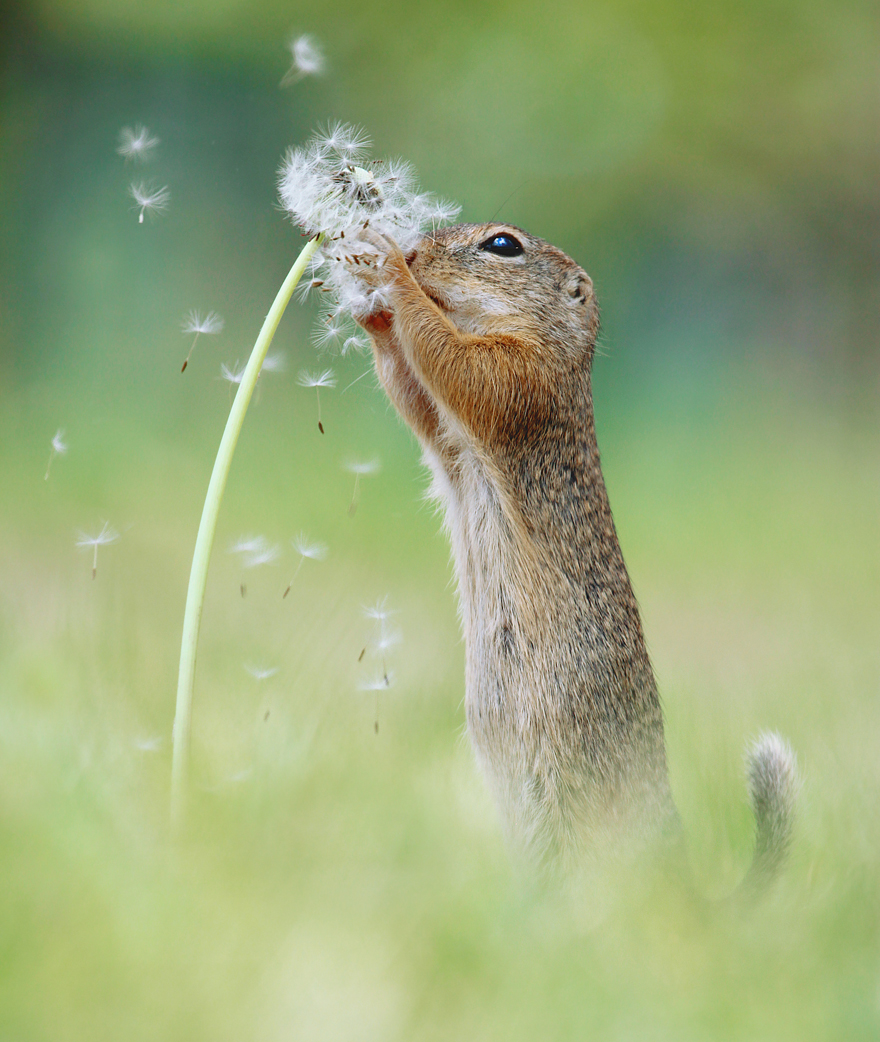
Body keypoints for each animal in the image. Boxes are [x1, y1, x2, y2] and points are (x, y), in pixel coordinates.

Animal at [347, 219, 795, 879]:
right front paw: (376, 311)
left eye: (502, 245)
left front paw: (394, 274)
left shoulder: (520, 380)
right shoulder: (451, 437)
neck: (562, 350)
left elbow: (452, 361)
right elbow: (416, 396)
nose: (413, 249)